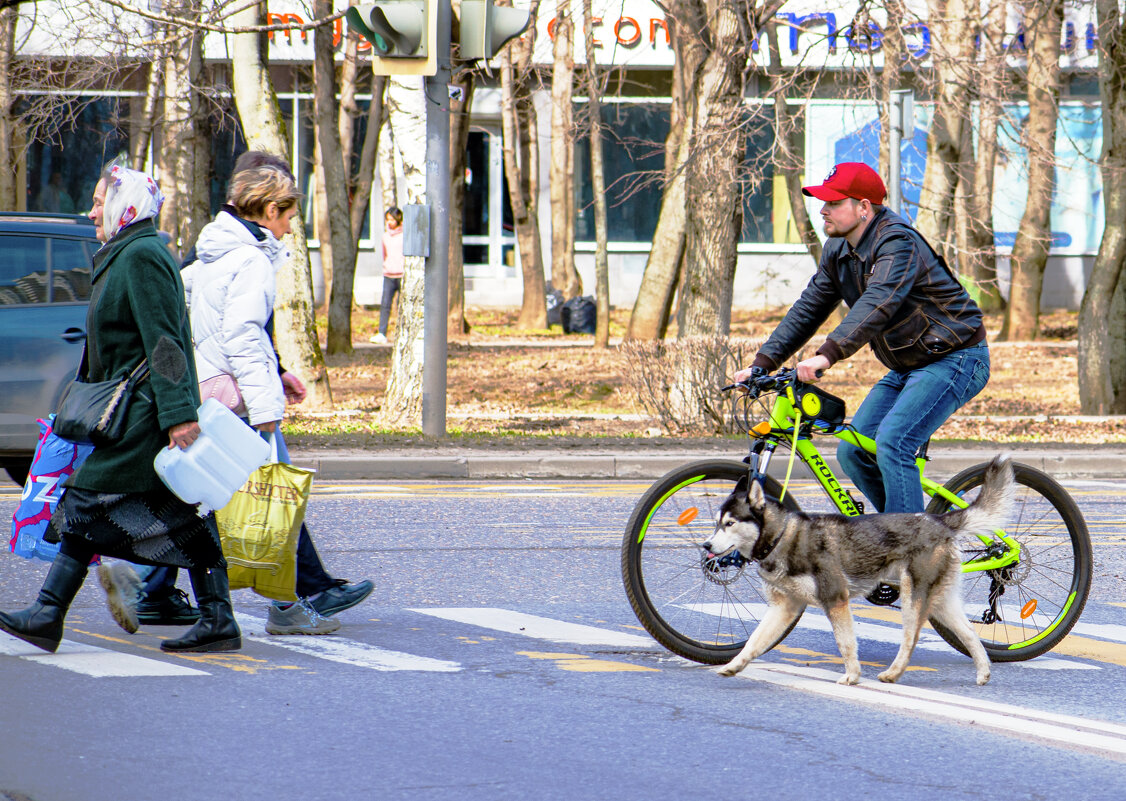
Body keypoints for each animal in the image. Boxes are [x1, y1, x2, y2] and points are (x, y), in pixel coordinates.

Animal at [702, 455, 1013, 684]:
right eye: (717, 523)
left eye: (730, 523)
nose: (706, 545)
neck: (781, 537)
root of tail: (938, 520)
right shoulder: (784, 608)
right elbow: (754, 642)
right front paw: (734, 665)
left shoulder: (835, 600)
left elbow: (846, 643)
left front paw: (852, 676)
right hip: (941, 603)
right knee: (970, 634)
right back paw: (983, 672)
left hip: (914, 599)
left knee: (910, 639)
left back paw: (893, 673)